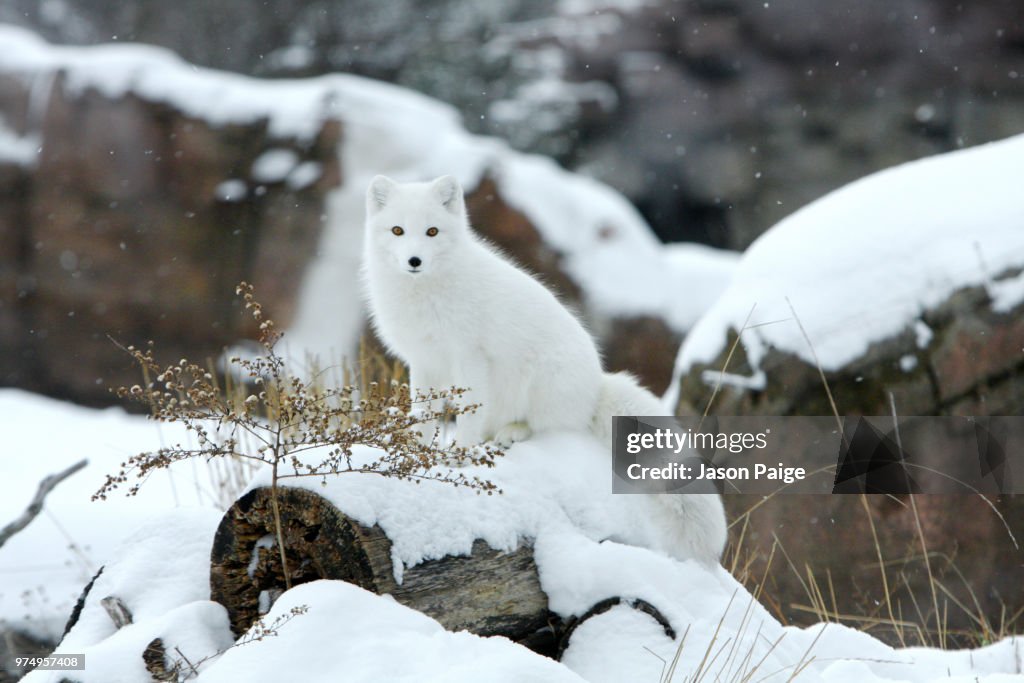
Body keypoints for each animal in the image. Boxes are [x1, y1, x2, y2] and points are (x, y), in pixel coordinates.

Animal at [364, 174, 724, 565]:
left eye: (432, 231)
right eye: (397, 230)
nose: (414, 260)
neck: (424, 294)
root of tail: (597, 387)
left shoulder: (470, 357)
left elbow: (469, 416)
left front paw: (460, 456)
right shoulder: (424, 362)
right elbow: (423, 414)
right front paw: (415, 451)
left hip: (540, 380)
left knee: (544, 427)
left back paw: (512, 432)